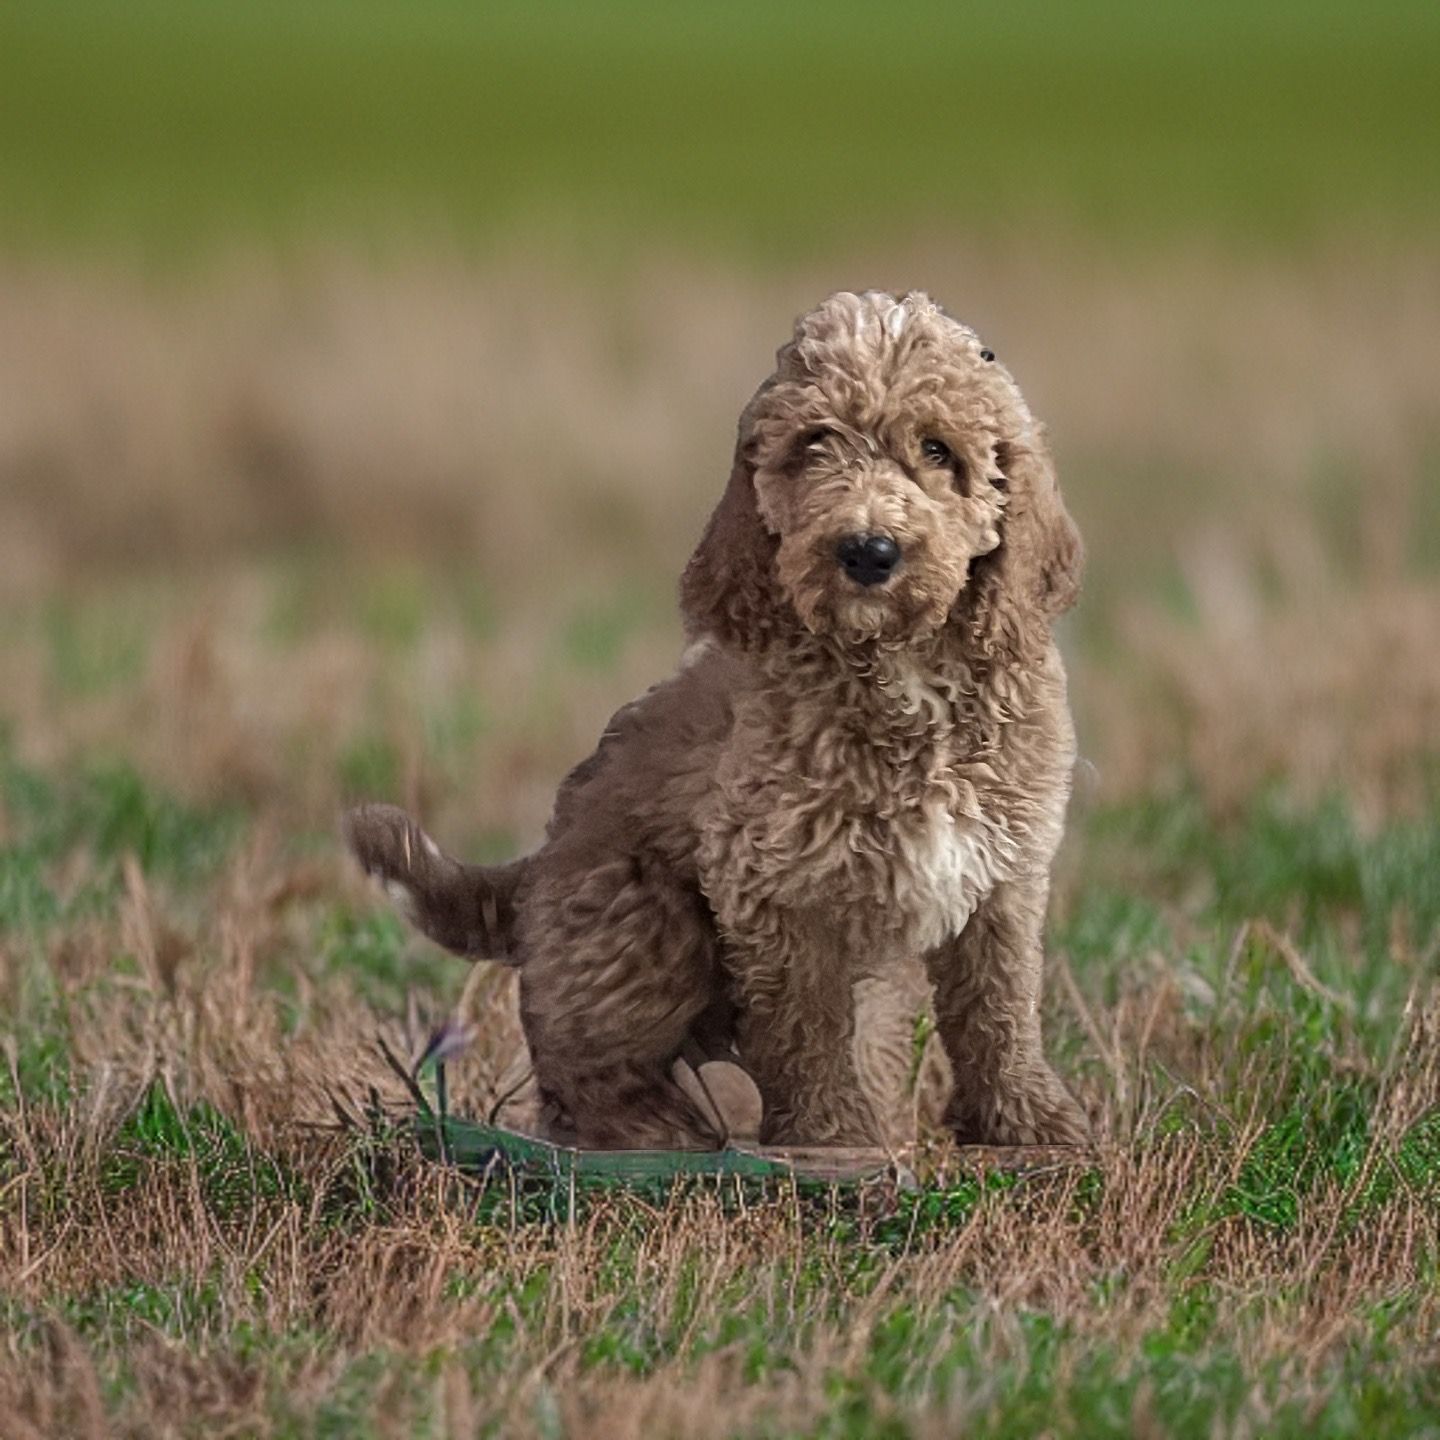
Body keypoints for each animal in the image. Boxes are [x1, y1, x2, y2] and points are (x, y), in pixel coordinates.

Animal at [351, 286, 1088, 1152]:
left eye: (938, 451)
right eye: (814, 446)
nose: (868, 551)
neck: (901, 673)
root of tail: (537, 868)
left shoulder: (1004, 870)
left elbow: (998, 1007)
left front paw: (1028, 1122)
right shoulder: (771, 877)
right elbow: (806, 1025)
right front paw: (832, 1136)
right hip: (639, 918)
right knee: (583, 1071)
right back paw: (652, 1130)